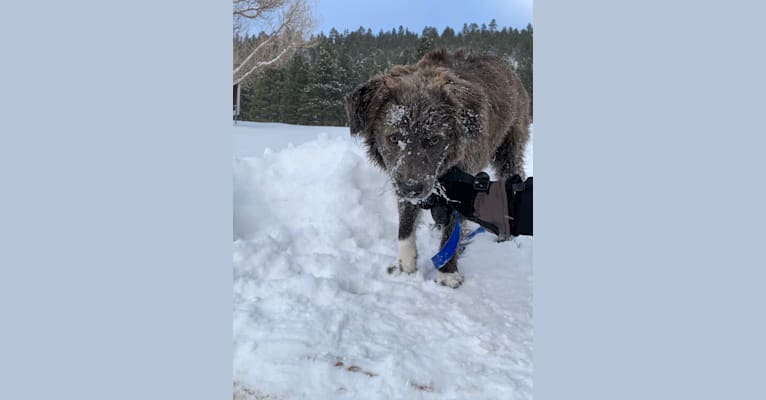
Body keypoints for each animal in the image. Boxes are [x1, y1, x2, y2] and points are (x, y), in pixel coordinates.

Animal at [344, 48, 532, 288]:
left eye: (433, 139)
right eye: (394, 138)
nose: (412, 189)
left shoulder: (462, 185)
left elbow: (452, 231)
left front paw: (447, 271)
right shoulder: (402, 180)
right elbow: (405, 225)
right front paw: (405, 265)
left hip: (510, 152)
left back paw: (505, 236)